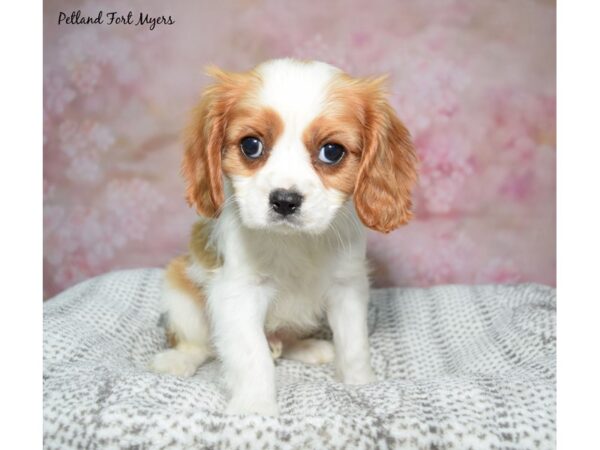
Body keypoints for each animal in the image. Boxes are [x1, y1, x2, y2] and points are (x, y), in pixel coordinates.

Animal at [150, 58, 414, 416]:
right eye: (251, 146)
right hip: (180, 291)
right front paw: (255, 408)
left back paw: (307, 347)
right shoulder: (239, 293)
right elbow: (253, 356)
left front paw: (361, 384)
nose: (285, 200)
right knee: (197, 343)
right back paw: (178, 360)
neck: (295, 241)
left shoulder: (347, 288)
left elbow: (355, 344)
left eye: (332, 152)